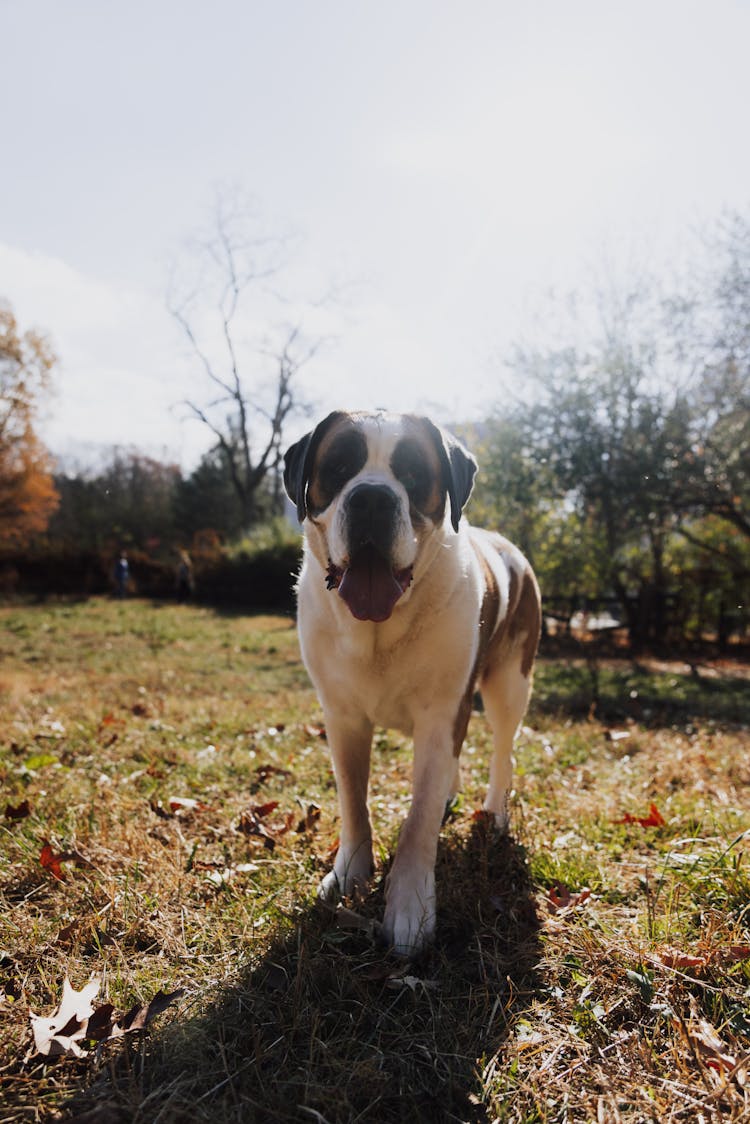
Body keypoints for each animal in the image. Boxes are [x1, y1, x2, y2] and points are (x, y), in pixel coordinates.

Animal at [284, 413, 541, 957]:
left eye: (413, 474)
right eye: (338, 467)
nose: (372, 499)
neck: (379, 630)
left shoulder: (442, 713)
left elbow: (419, 818)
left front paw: (409, 907)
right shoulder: (342, 717)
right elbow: (353, 799)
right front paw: (350, 874)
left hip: (511, 684)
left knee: (502, 749)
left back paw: (495, 812)